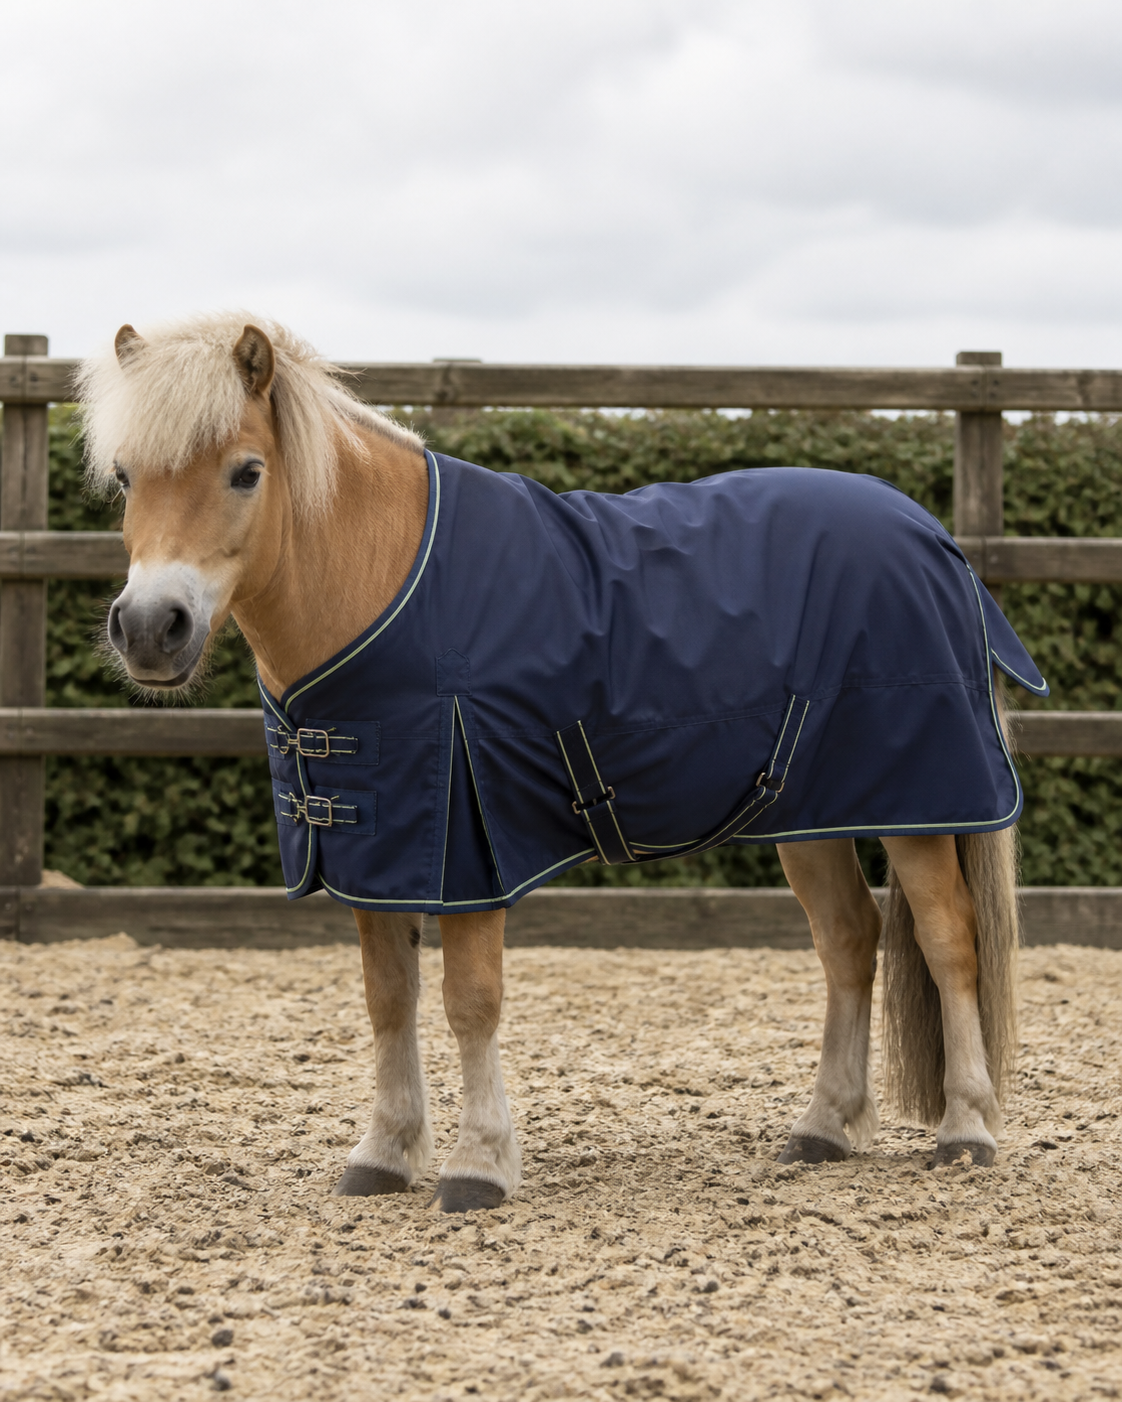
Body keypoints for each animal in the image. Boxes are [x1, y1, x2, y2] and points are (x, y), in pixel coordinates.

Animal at [80, 313, 1039, 1213]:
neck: (382, 580)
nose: (151, 628)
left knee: (949, 942)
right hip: (812, 814)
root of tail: (931, 536)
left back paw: (966, 1130)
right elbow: (389, 998)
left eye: (246, 471)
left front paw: (477, 1166)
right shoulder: (376, 848)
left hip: (920, 807)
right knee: (848, 940)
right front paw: (385, 1153)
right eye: (125, 476)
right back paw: (825, 1128)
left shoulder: (464, 850)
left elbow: (470, 1000)